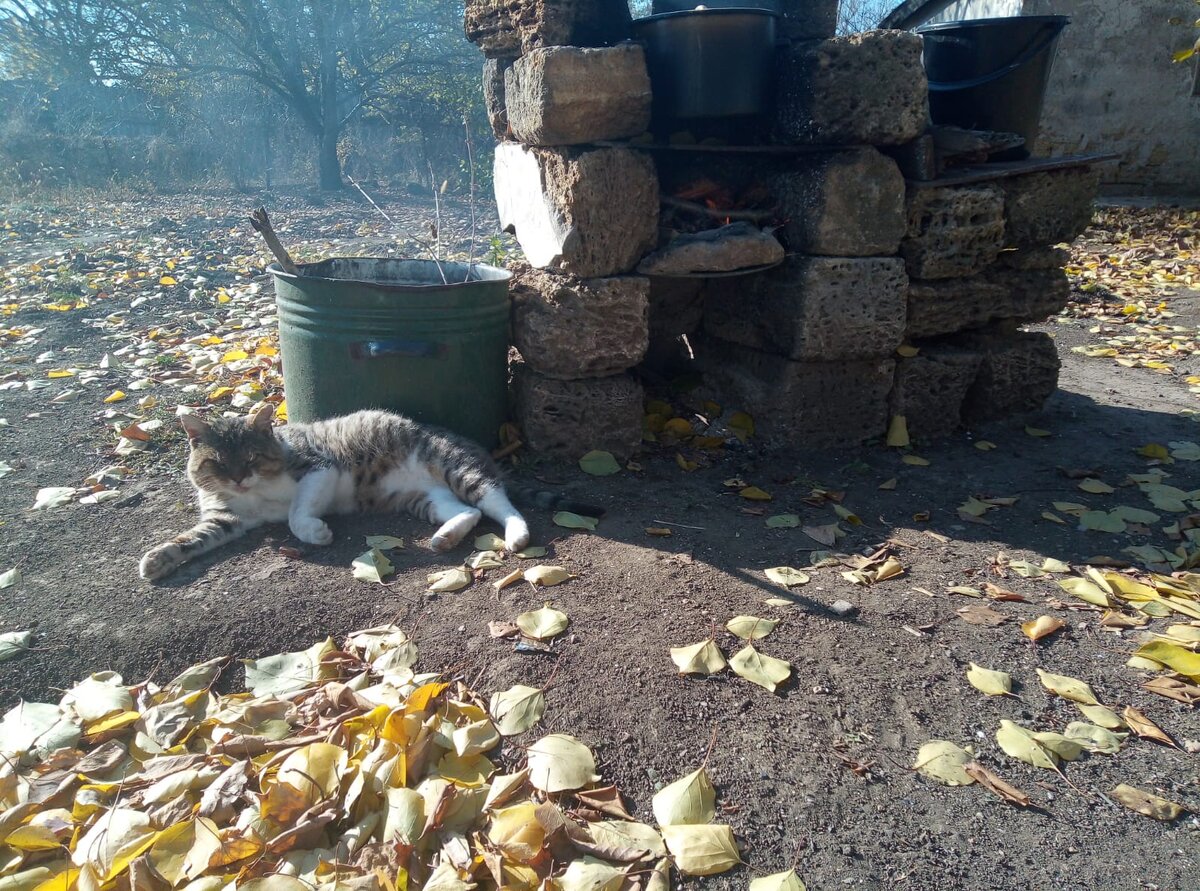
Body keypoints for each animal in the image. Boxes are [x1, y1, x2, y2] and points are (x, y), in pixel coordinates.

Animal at [140, 408, 552, 583]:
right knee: (468, 511)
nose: (239, 479)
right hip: (424, 498)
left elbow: (295, 512)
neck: (256, 493)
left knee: (497, 499)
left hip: (453, 464)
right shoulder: (225, 517)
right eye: (219, 464)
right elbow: (194, 537)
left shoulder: (317, 467)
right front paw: (157, 560)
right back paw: (445, 537)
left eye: (252, 458)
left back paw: (517, 534)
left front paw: (314, 531)